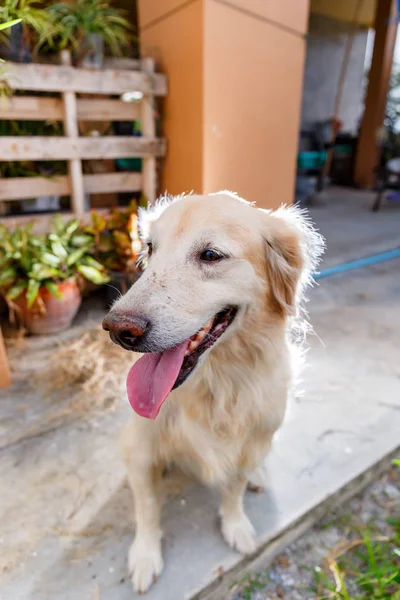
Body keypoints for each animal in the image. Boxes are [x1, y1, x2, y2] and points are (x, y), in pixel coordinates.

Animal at [101, 191, 324, 592]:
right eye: (151, 248)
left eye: (210, 255)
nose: (117, 329)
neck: (217, 384)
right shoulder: (141, 447)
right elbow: (147, 506)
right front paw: (145, 554)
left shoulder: (249, 443)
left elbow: (233, 490)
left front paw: (236, 527)